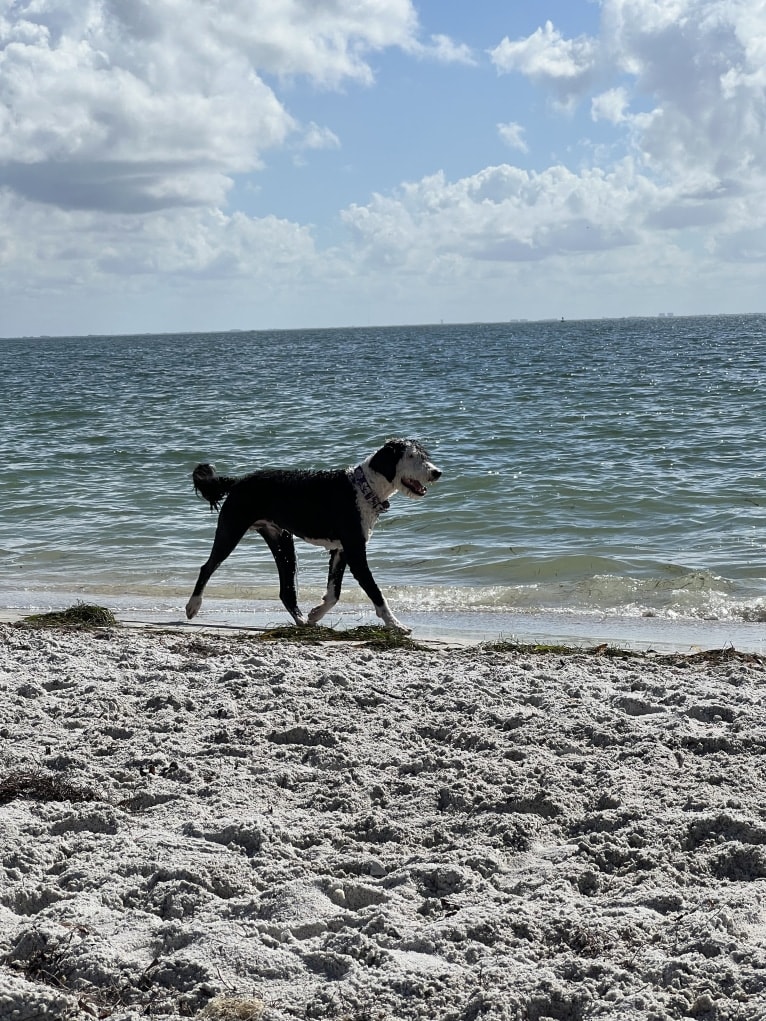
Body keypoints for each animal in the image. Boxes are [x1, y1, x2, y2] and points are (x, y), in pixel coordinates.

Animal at [184, 436, 443, 628]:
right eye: (411, 457)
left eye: (424, 457)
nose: (437, 472)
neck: (364, 487)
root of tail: (238, 480)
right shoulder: (355, 551)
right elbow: (375, 590)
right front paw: (395, 624)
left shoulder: (341, 551)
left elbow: (334, 593)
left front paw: (315, 614)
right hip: (230, 530)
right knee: (207, 567)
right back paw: (192, 606)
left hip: (282, 541)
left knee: (286, 590)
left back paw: (301, 620)